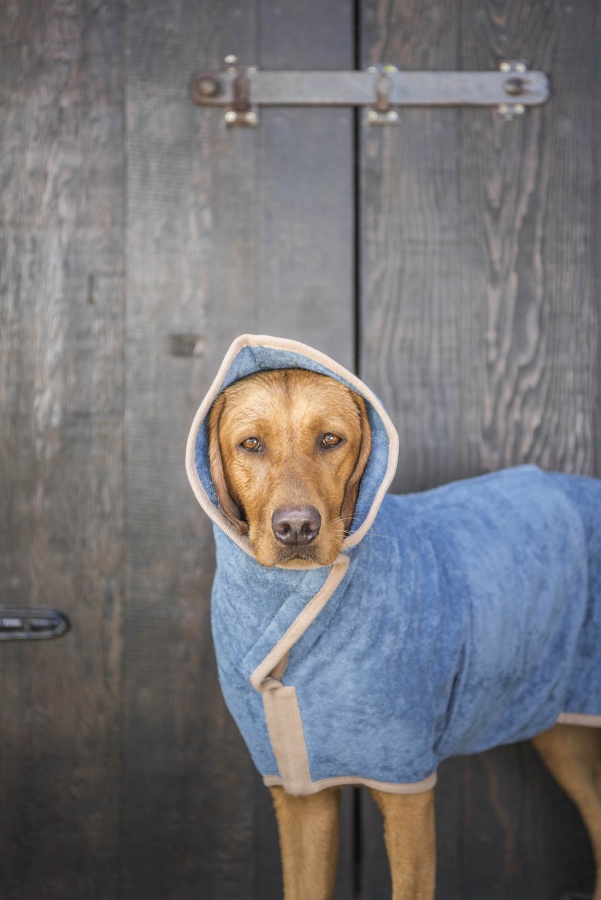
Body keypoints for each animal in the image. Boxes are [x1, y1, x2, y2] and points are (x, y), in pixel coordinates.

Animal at [186, 336, 600, 900]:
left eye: (331, 440)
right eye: (250, 444)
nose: (296, 528)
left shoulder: (406, 788)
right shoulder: (301, 793)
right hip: (562, 730)